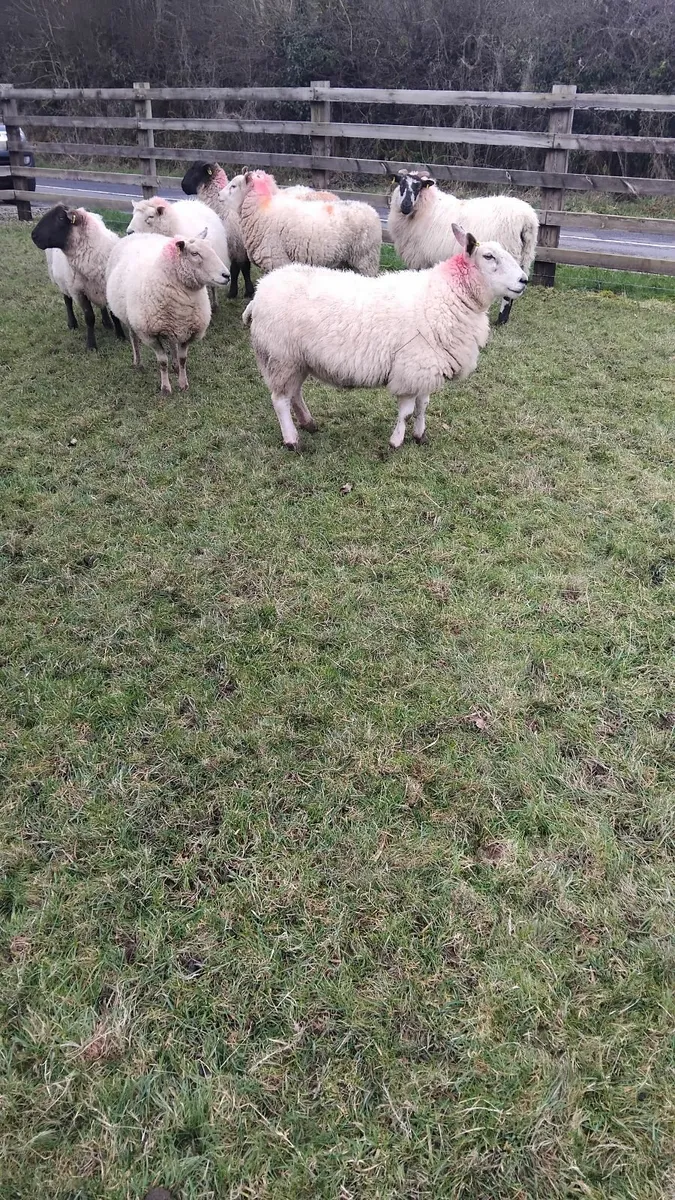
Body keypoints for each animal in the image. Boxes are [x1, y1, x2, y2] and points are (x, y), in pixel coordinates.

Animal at [31, 206, 124, 350]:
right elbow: (89, 318)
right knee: (67, 301)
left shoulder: (107, 286)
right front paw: (91, 345)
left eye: (60, 217)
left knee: (101, 304)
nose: (33, 236)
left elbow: (114, 314)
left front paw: (120, 335)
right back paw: (72, 323)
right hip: (63, 282)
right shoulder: (79, 292)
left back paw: (107, 322)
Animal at [105, 230, 230, 394]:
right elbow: (163, 362)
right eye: (195, 253)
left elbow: (183, 359)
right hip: (129, 317)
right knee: (134, 338)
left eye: (212, 248)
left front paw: (183, 384)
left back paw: (175, 365)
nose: (227, 275)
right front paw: (165, 388)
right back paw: (138, 362)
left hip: (172, 324)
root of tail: (139, 233)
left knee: (172, 342)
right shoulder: (150, 335)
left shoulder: (188, 331)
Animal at [223, 170, 382, 276]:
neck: (261, 209)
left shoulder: (277, 260)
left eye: (234, 186)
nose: (219, 195)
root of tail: (371, 210)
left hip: (366, 260)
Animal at [243, 224, 528, 451]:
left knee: (295, 394)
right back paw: (292, 440)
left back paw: (309, 423)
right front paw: (396, 441)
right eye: (489, 256)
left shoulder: (426, 369)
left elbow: (423, 405)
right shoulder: (411, 368)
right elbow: (407, 412)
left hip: (297, 360)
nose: (524, 280)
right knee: (280, 400)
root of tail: (259, 292)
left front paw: (420, 436)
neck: (447, 295)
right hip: (280, 356)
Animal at [387, 171, 539, 325]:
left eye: (418, 187)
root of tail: (527, 219)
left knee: (509, 294)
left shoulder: (420, 257)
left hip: (510, 254)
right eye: (401, 183)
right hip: (525, 255)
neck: (426, 207)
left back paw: (501, 320)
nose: (406, 205)